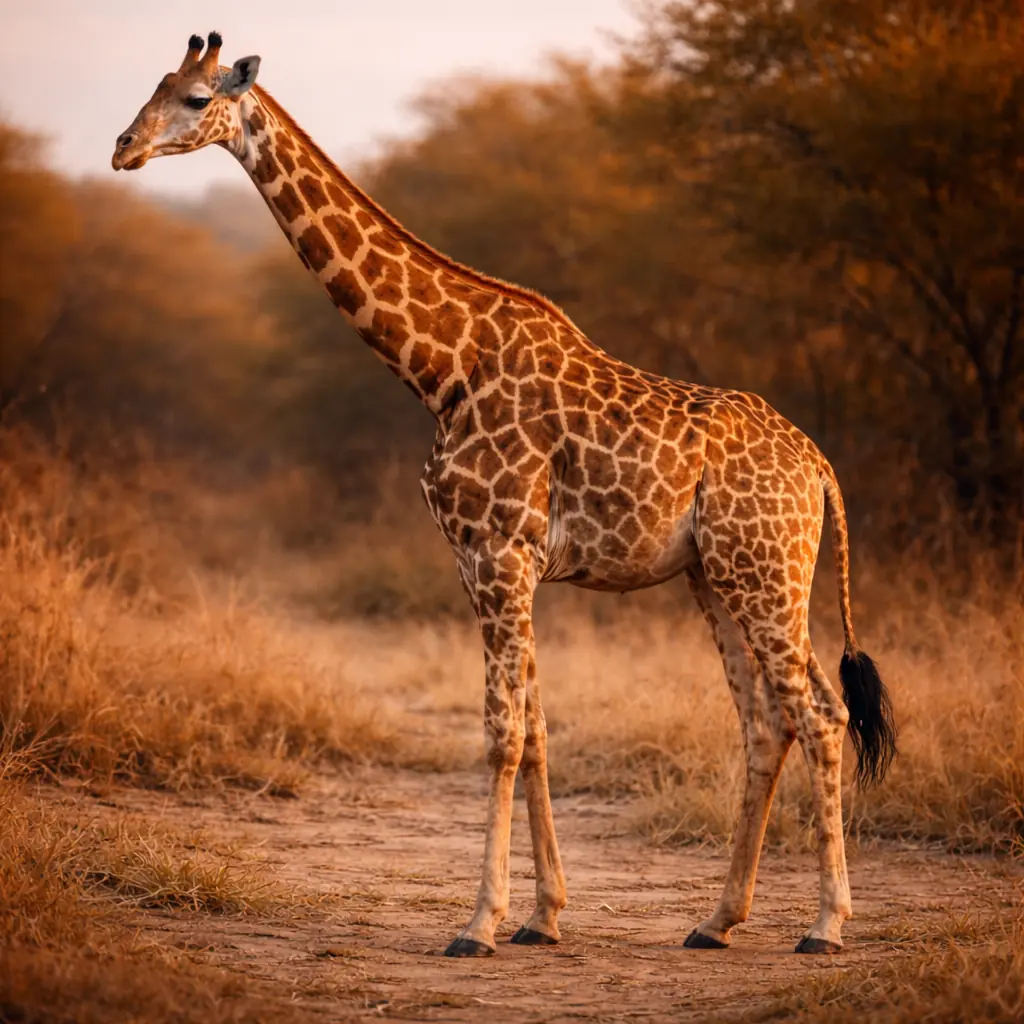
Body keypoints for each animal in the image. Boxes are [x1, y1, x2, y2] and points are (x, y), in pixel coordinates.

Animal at [112, 33, 897, 957]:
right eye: (158, 85)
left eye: (198, 99)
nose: (123, 148)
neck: (440, 367)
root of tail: (820, 466)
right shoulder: (480, 560)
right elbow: (539, 729)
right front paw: (543, 915)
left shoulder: (500, 553)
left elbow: (500, 734)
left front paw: (478, 923)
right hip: (717, 575)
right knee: (766, 719)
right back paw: (716, 920)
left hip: (767, 572)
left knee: (820, 714)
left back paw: (825, 925)